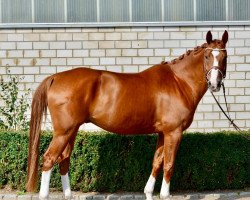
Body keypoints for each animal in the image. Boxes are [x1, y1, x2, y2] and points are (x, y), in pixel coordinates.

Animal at [26, 30, 228, 199]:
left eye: (224, 56)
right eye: (208, 56)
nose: (215, 84)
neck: (178, 82)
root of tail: (55, 77)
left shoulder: (163, 133)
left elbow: (157, 162)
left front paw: (148, 192)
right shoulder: (174, 132)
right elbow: (169, 165)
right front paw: (164, 194)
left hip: (72, 130)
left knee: (64, 160)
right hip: (63, 132)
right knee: (49, 159)